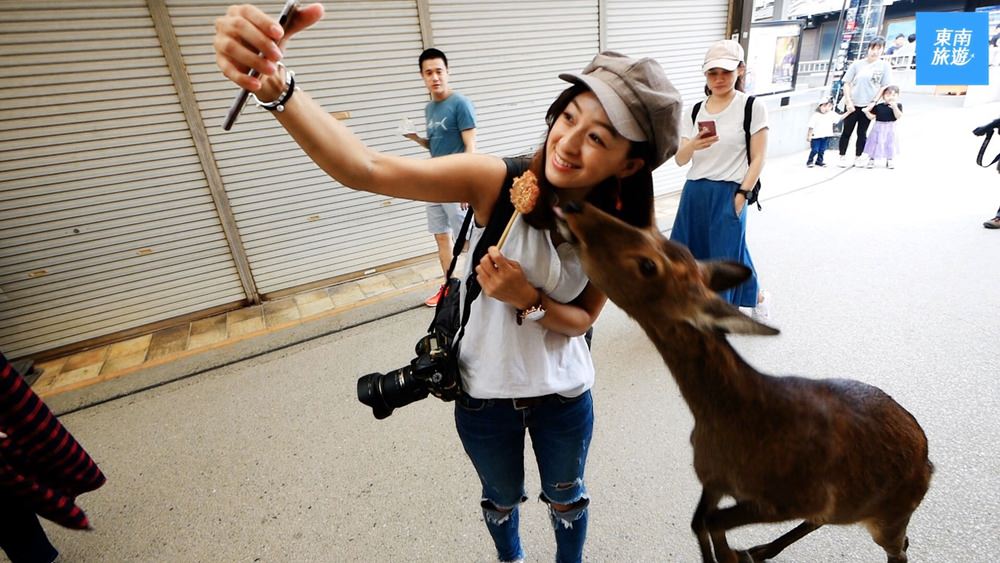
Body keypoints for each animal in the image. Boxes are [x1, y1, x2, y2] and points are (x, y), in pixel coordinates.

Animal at [560, 200, 932, 560]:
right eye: (660, 238)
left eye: (648, 265)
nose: (575, 208)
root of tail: (929, 464)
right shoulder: (712, 479)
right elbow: (698, 521)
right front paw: (731, 554)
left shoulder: (794, 499)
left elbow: (711, 521)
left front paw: (732, 555)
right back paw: (761, 549)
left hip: (890, 515)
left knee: (899, 548)